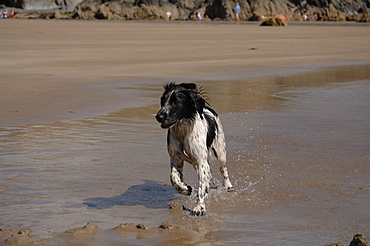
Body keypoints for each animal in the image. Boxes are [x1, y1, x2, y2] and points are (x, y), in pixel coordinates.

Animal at [155, 82, 233, 215]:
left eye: (176, 102)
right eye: (163, 100)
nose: (159, 116)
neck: (183, 131)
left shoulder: (202, 162)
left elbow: (202, 187)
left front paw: (199, 208)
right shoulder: (176, 159)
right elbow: (174, 178)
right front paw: (185, 189)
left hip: (220, 151)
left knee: (223, 169)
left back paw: (228, 185)